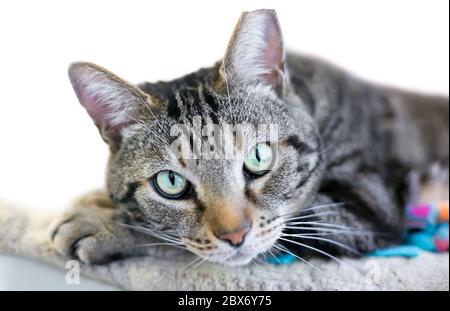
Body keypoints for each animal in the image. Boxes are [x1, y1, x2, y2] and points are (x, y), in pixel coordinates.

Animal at [51, 11, 448, 266]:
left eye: (259, 158)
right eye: (171, 183)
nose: (234, 235)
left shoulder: (363, 206)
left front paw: (100, 225)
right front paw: (92, 204)